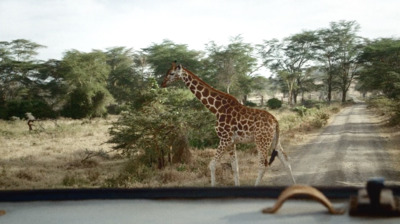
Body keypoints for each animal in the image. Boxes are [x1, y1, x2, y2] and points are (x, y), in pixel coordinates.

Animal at [161, 62, 296, 186]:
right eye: (167, 71)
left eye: (171, 73)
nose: (162, 84)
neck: (216, 108)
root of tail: (275, 121)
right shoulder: (232, 142)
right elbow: (235, 168)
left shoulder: (224, 139)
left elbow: (212, 164)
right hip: (274, 141)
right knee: (286, 160)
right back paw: (294, 185)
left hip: (261, 141)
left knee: (263, 165)